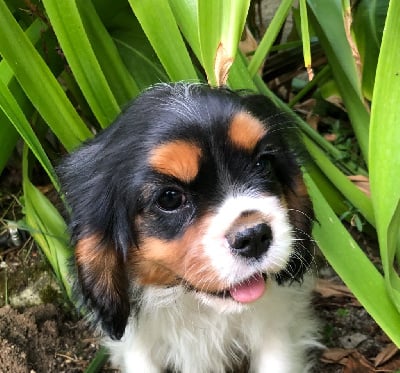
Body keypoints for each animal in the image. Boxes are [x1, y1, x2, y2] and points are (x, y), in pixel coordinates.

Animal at [60, 83, 318, 370]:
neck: (198, 306)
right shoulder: (136, 346)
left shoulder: (276, 328)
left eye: (263, 164)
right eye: (170, 198)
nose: (253, 236)